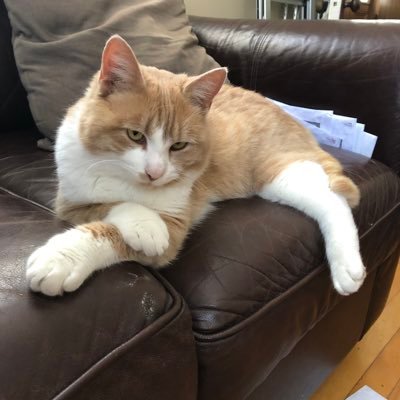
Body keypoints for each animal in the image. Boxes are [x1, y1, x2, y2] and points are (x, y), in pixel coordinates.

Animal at [25, 35, 366, 296]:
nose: (154, 173)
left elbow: (109, 232)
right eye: (135, 135)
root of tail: (290, 116)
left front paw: (62, 259)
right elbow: (111, 205)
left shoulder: (175, 228)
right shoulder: (69, 203)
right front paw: (144, 222)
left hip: (279, 171)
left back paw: (347, 266)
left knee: (332, 200)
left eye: (178, 146)